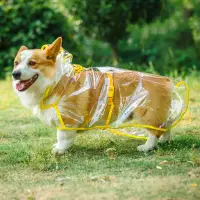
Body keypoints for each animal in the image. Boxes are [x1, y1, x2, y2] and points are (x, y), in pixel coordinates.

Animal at [12, 37, 173, 155]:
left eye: (32, 63)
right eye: (16, 63)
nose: (15, 74)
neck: (55, 83)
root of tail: (165, 80)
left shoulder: (67, 119)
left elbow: (62, 137)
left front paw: (59, 150)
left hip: (146, 115)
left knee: (154, 132)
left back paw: (147, 147)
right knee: (166, 126)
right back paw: (164, 141)